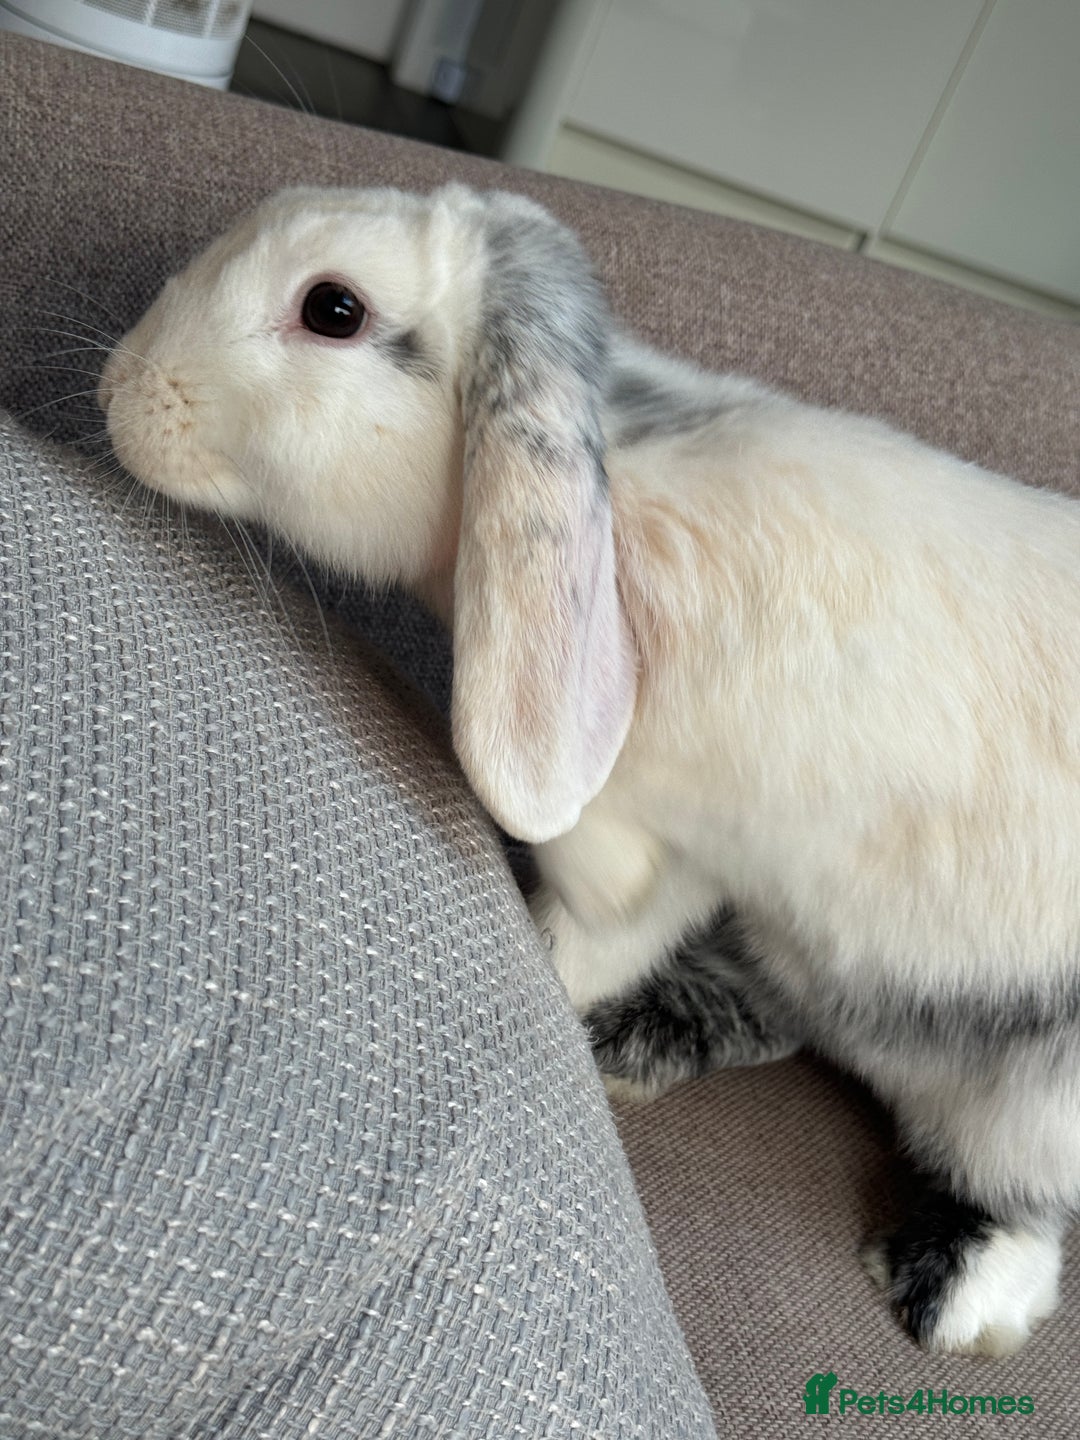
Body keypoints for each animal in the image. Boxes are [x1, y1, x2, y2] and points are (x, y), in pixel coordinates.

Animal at [99, 181, 1080, 1358]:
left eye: (333, 308)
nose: (118, 388)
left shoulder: (659, 840)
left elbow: (594, 926)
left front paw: (552, 974)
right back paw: (633, 1043)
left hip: (1033, 1093)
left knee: (1016, 1189)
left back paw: (954, 1291)